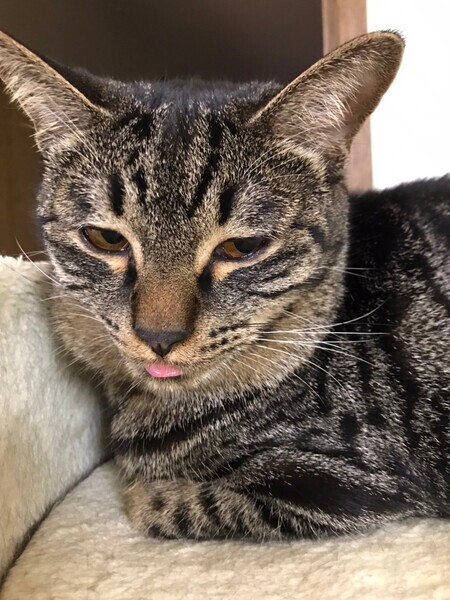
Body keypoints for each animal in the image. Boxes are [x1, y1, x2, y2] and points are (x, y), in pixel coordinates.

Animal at [0, 29, 448, 541]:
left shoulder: (345, 485)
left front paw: (146, 490)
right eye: (106, 239)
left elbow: (167, 504)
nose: (159, 337)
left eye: (242, 247)